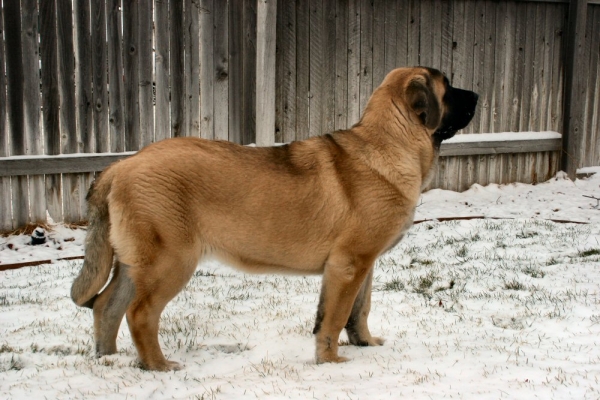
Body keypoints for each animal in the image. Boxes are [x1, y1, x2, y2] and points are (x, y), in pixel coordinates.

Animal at [71, 67, 478, 370]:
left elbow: (357, 310)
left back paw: (107, 360)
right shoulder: (350, 264)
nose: (476, 95)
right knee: (139, 314)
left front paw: (364, 343)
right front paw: (330, 361)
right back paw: (158, 365)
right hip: (169, 261)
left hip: (134, 262)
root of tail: (121, 166)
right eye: (448, 87)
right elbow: (336, 316)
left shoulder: (363, 264)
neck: (392, 140)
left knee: (107, 306)